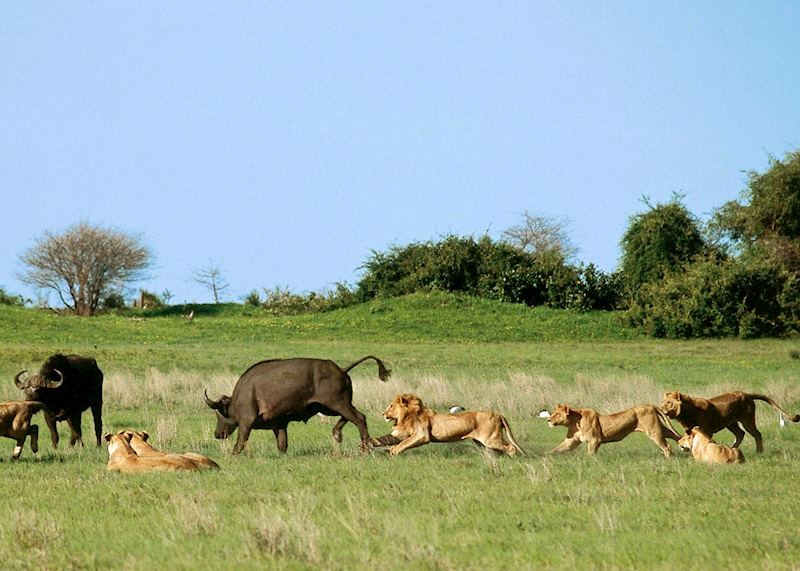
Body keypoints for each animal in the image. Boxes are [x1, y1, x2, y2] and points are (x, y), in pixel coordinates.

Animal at [204, 355, 390, 454]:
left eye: (220, 413)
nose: (217, 434)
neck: (239, 396)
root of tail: (341, 369)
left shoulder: (246, 422)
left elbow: (241, 441)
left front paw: (233, 455)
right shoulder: (278, 424)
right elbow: (282, 444)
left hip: (337, 404)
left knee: (359, 418)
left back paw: (365, 447)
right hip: (329, 407)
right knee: (351, 417)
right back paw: (337, 434)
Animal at [378, 393, 524, 456]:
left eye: (391, 406)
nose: (382, 413)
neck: (409, 415)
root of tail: (498, 414)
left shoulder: (422, 435)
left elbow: (405, 443)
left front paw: (393, 451)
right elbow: (399, 439)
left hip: (490, 439)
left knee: (511, 447)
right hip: (484, 441)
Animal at [547, 403, 681, 457]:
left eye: (557, 414)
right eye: (553, 412)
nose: (548, 420)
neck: (574, 422)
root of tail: (650, 405)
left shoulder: (595, 440)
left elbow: (590, 453)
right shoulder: (571, 441)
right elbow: (557, 449)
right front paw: (547, 456)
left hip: (653, 431)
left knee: (666, 446)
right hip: (660, 429)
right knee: (676, 437)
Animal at [660, 390, 800, 453]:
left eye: (669, 402)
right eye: (663, 402)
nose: (661, 408)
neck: (686, 412)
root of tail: (747, 394)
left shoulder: (707, 430)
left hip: (747, 420)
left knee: (757, 434)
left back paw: (759, 451)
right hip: (731, 423)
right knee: (740, 434)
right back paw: (732, 448)